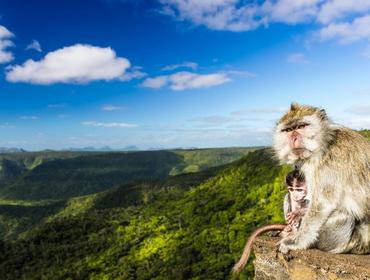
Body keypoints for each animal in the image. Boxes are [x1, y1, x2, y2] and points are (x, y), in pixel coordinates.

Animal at [274, 104, 368, 255]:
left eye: (301, 126)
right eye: (288, 130)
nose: (293, 138)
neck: (326, 142)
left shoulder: (329, 162)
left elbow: (322, 203)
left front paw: (295, 242)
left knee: (343, 214)